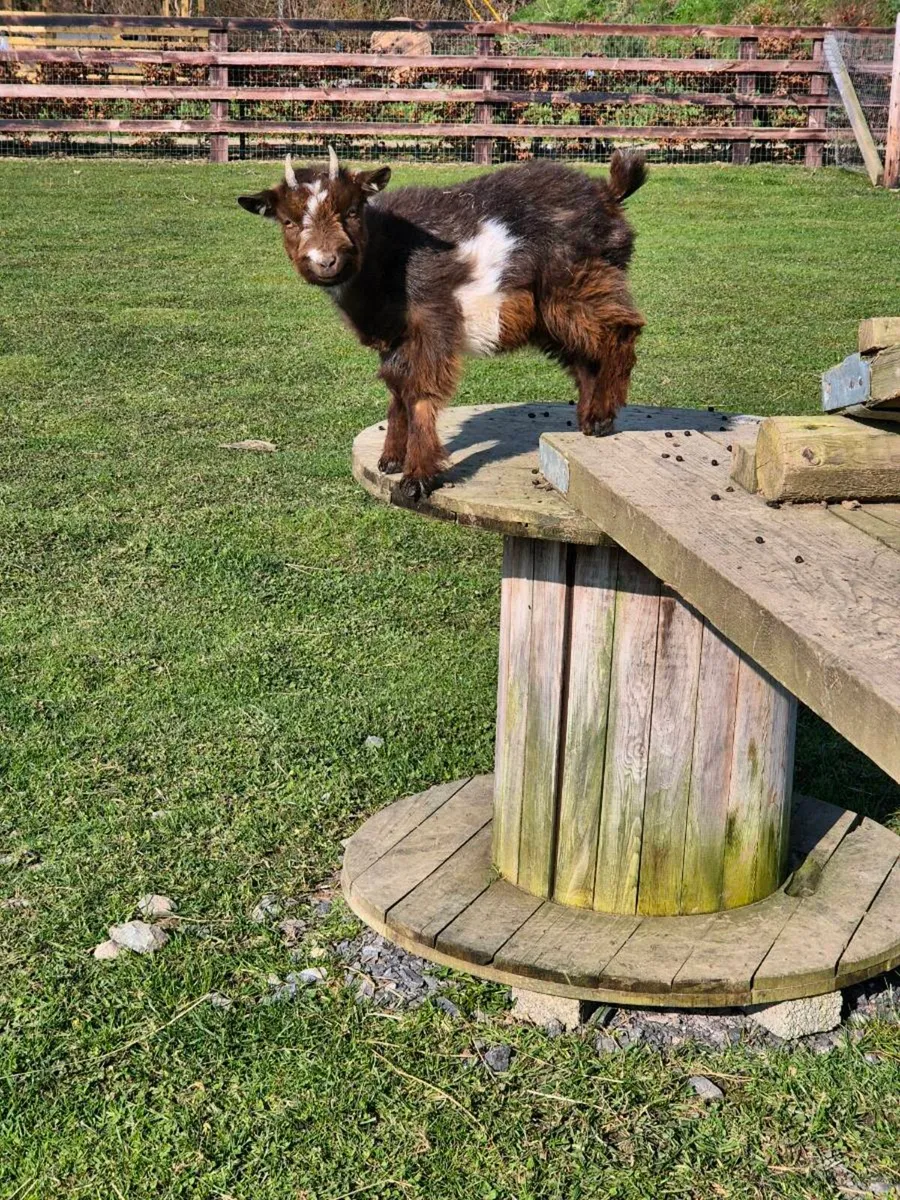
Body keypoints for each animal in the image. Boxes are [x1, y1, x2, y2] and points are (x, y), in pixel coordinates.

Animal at [238, 147, 647, 500]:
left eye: (352, 211)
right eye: (288, 221)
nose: (326, 261)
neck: (389, 253)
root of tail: (608, 194)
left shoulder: (432, 320)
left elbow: (420, 392)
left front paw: (417, 477)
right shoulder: (394, 336)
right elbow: (396, 389)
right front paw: (391, 458)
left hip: (575, 282)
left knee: (621, 329)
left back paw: (602, 416)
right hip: (549, 313)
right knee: (584, 356)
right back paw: (589, 419)